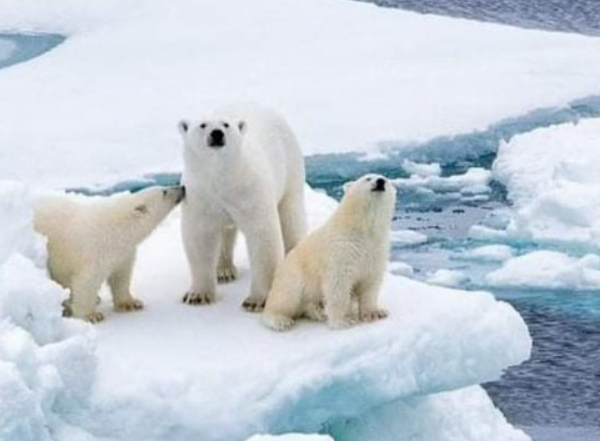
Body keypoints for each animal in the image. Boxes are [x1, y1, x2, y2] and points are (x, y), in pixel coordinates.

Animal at [32, 186, 183, 324]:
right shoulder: (94, 251)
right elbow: (86, 282)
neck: (117, 228)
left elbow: (121, 276)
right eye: (164, 191)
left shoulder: (123, 253)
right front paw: (91, 315)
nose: (181, 187)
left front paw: (130, 303)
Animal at [178, 106, 308, 310]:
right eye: (203, 125)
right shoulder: (200, 195)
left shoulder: (250, 189)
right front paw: (198, 295)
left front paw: (257, 300)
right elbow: (200, 238)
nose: (217, 134)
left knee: (291, 217)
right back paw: (223, 271)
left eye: (226, 124)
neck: (221, 178)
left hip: (290, 166)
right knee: (225, 231)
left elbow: (262, 235)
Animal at [264, 174, 396, 328]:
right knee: (286, 295)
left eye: (387, 180)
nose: (380, 181)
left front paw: (375, 313)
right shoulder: (342, 249)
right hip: (293, 275)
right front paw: (344, 320)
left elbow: (370, 283)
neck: (361, 230)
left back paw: (317, 310)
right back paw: (280, 319)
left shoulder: (376, 250)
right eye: (368, 178)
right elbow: (338, 283)